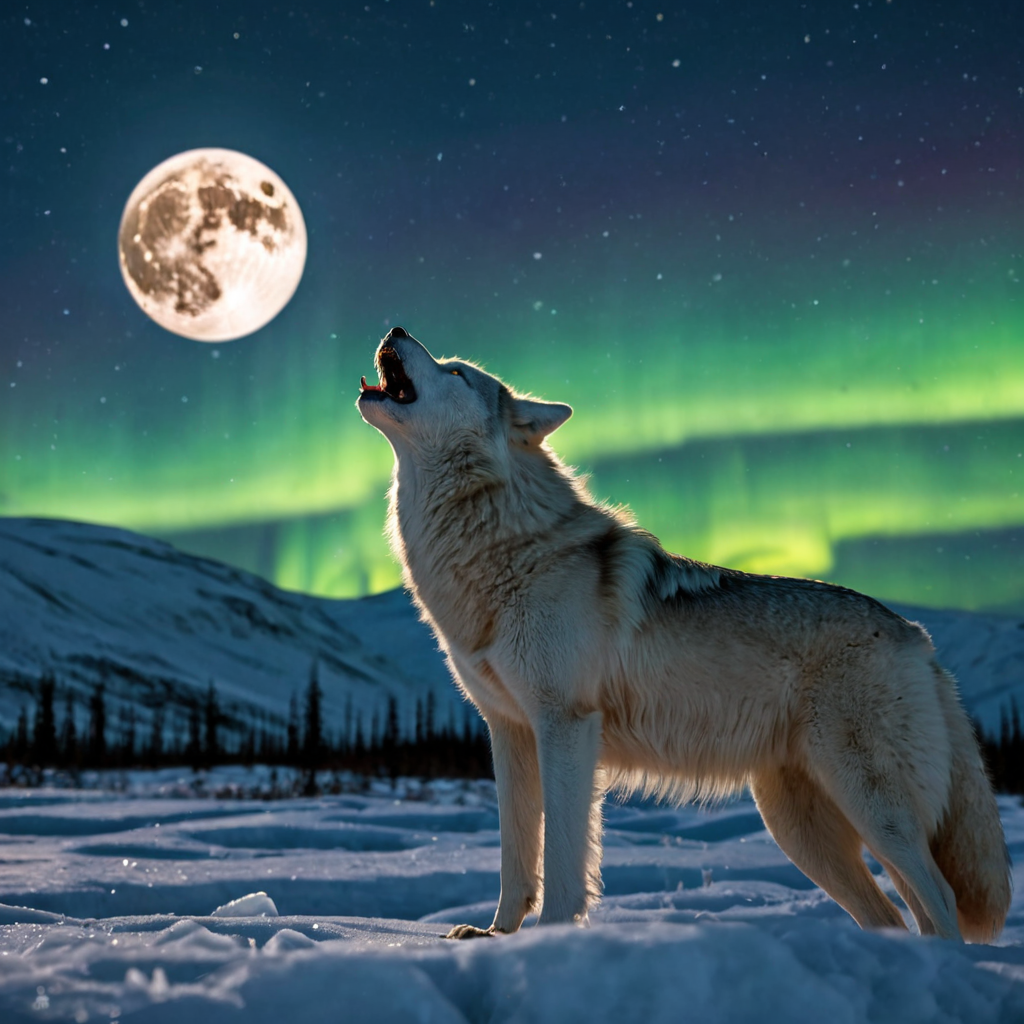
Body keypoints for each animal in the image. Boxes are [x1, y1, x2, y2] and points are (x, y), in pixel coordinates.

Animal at [357, 326, 1011, 942]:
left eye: (457, 373)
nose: (395, 330)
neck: (499, 549)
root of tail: (919, 638)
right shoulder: (509, 730)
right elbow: (517, 857)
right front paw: (496, 935)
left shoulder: (566, 725)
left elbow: (565, 859)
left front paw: (548, 938)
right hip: (802, 829)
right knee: (892, 916)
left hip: (871, 807)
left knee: (939, 897)